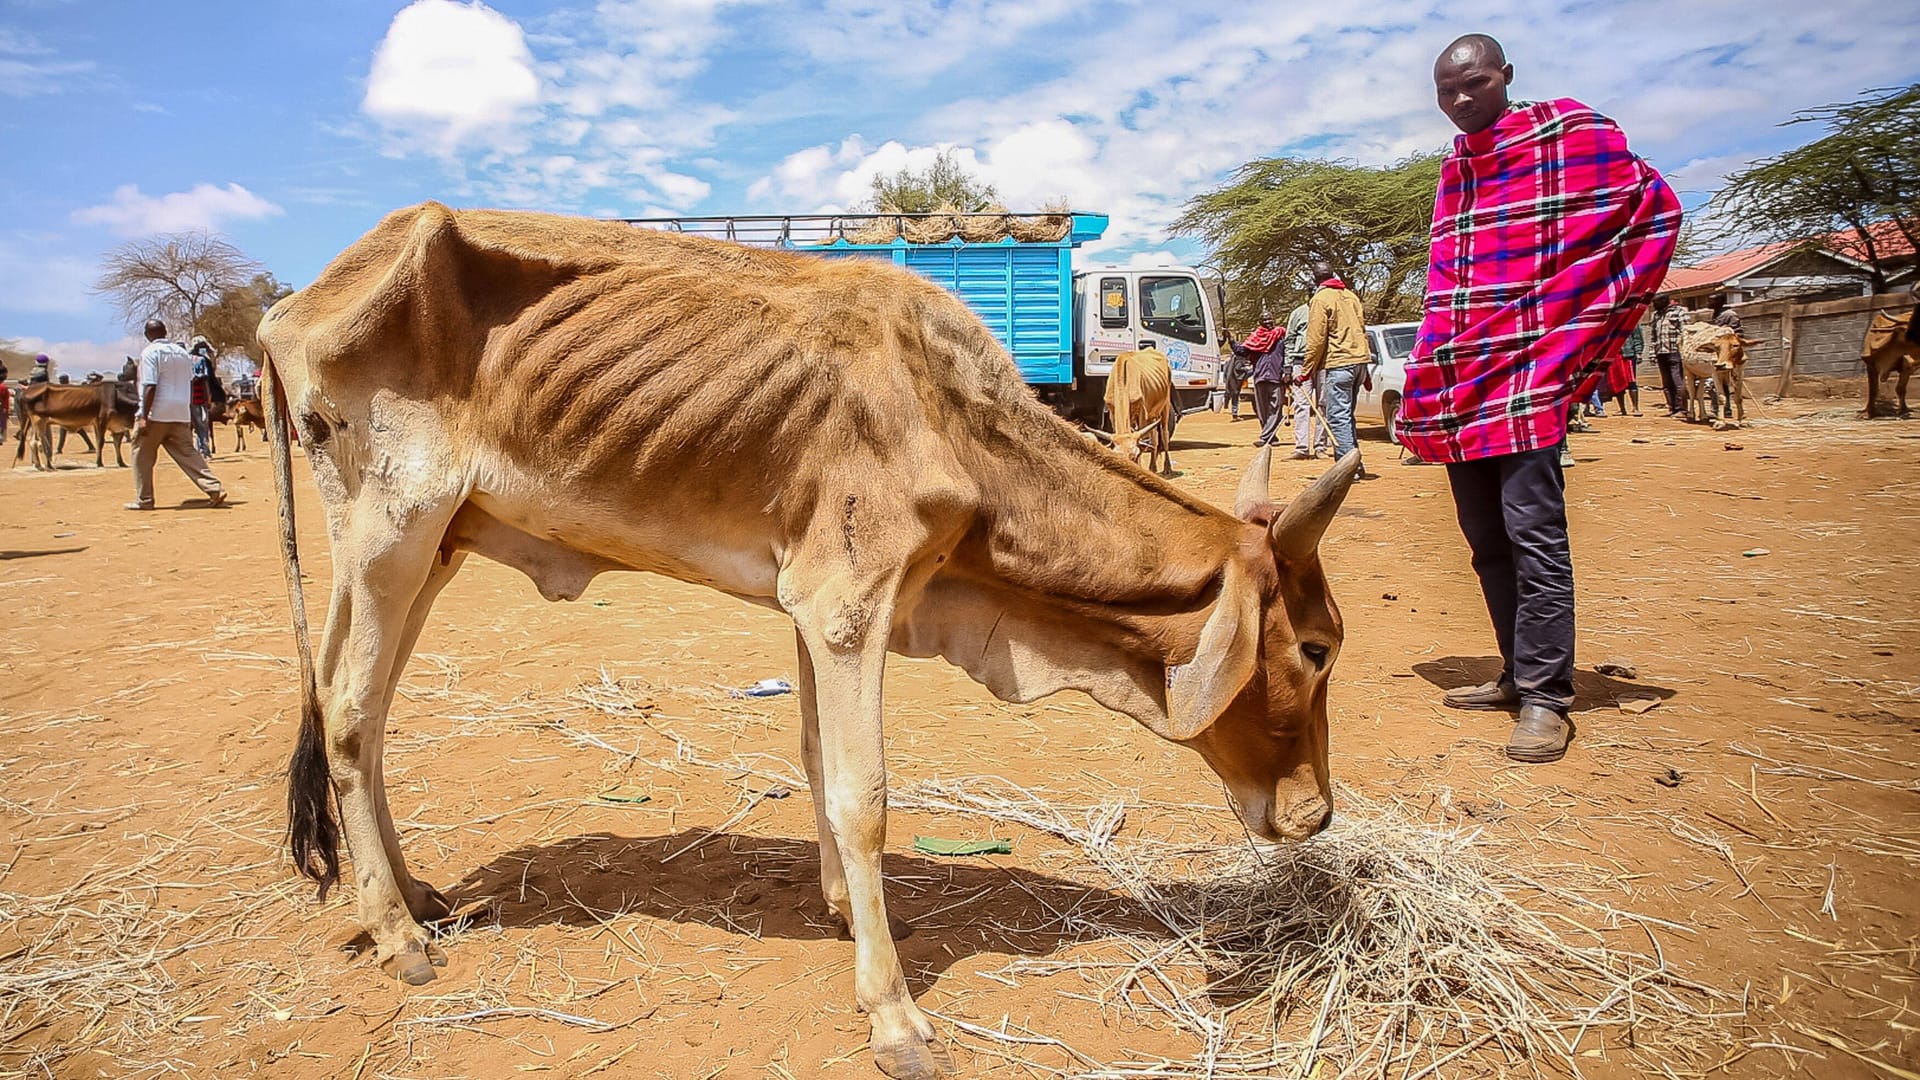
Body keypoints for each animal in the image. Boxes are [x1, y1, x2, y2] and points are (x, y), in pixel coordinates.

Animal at [259, 203, 1367, 1076]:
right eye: (1316, 648)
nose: (1315, 815)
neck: (949, 415)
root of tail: (294, 303)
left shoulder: (812, 604)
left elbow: (813, 760)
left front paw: (842, 910)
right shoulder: (847, 606)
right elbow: (862, 795)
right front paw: (894, 1014)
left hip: (432, 550)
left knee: (368, 715)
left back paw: (408, 895)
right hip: (391, 530)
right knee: (349, 711)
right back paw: (397, 934)